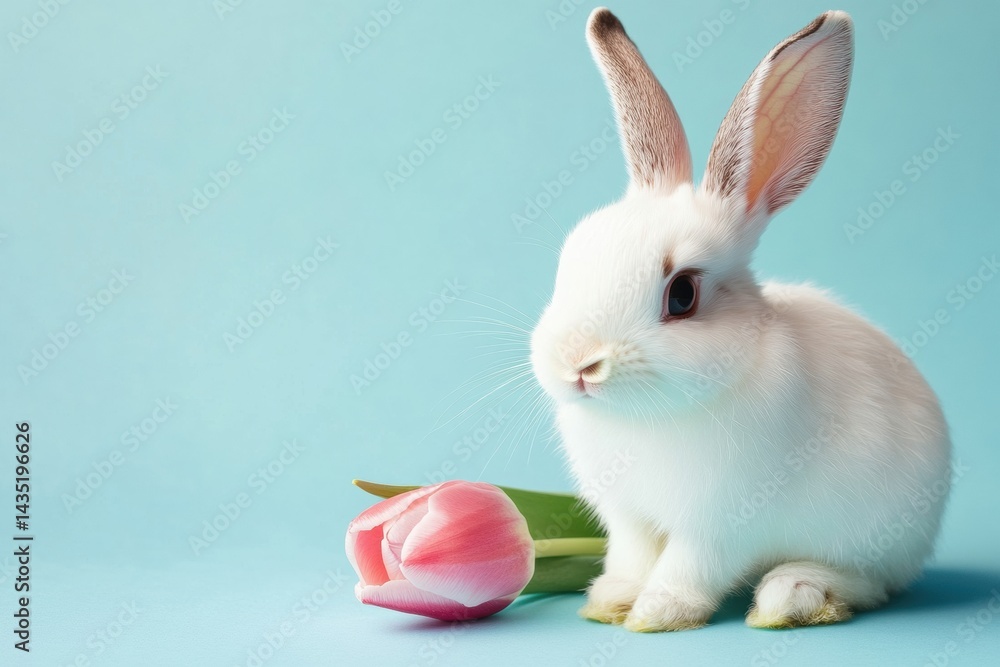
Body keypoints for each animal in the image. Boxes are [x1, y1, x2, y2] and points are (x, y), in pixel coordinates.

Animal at [529, 8, 952, 632]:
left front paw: (657, 613)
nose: (577, 364)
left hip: (877, 538)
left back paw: (794, 596)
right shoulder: (628, 516)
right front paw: (610, 602)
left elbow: (688, 566)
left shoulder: (720, 524)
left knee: (871, 585)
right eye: (570, 258)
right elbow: (631, 557)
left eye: (682, 294)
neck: (648, 417)